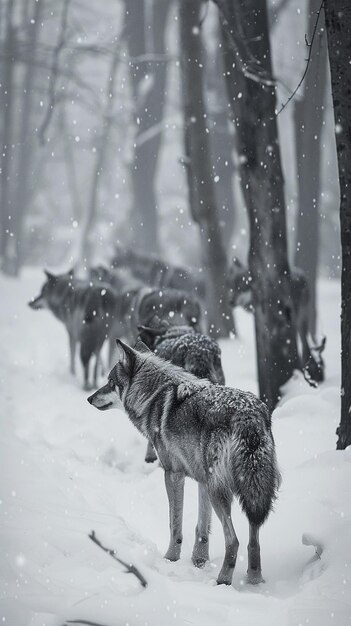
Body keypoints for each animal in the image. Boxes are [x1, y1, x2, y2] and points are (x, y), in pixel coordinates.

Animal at [88, 338, 280, 584]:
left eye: (110, 382)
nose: (89, 398)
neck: (153, 397)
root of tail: (248, 414)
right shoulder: (202, 480)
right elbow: (201, 529)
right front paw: (199, 561)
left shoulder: (172, 473)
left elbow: (174, 524)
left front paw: (170, 558)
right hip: (251, 489)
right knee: (253, 539)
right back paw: (254, 580)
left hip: (220, 491)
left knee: (234, 540)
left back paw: (223, 579)